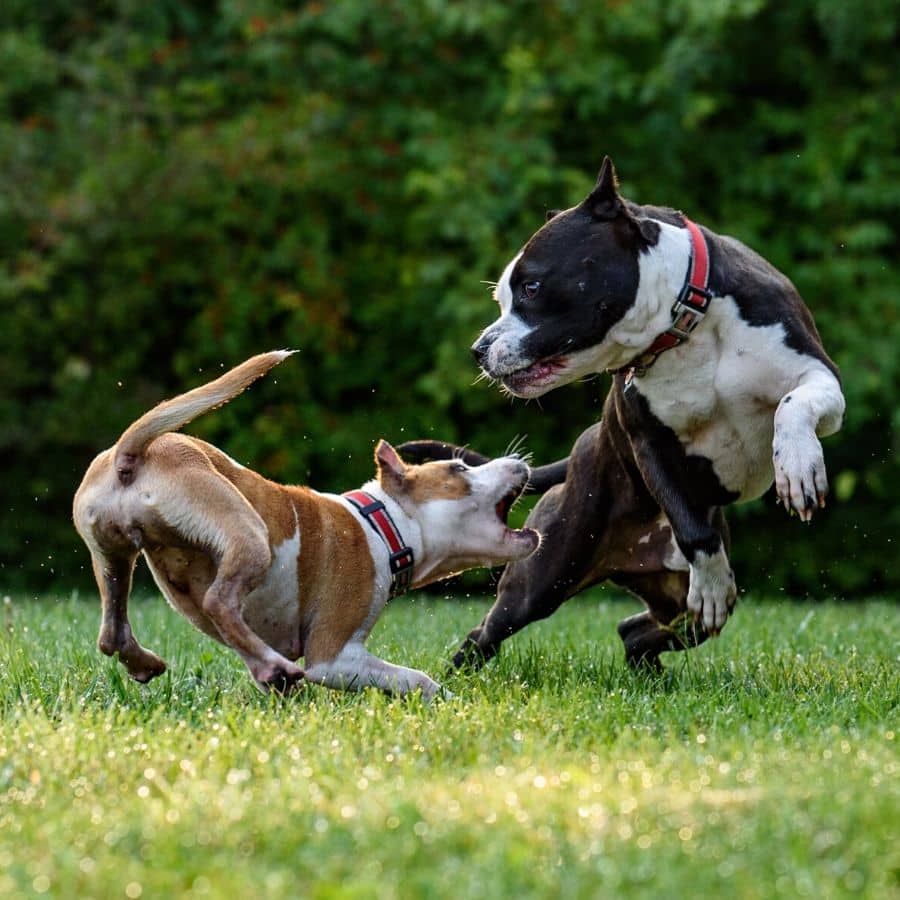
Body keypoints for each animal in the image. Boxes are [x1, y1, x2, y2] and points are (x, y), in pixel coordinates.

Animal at [74, 350, 536, 696]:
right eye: (459, 469)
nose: (519, 460)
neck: (382, 524)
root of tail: (130, 454)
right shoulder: (334, 657)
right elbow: (417, 680)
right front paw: (447, 702)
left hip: (112, 555)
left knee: (112, 632)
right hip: (247, 532)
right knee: (218, 601)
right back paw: (272, 665)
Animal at [400, 158, 844, 672]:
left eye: (531, 287)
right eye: (503, 299)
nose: (479, 349)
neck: (685, 325)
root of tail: (581, 448)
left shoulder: (819, 376)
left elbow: (793, 406)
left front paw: (798, 466)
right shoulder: (648, 442)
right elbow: (693, 530)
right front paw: (713, 583)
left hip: (673, 603)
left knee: (638, 630)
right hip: (544, 575)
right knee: (488, 631)